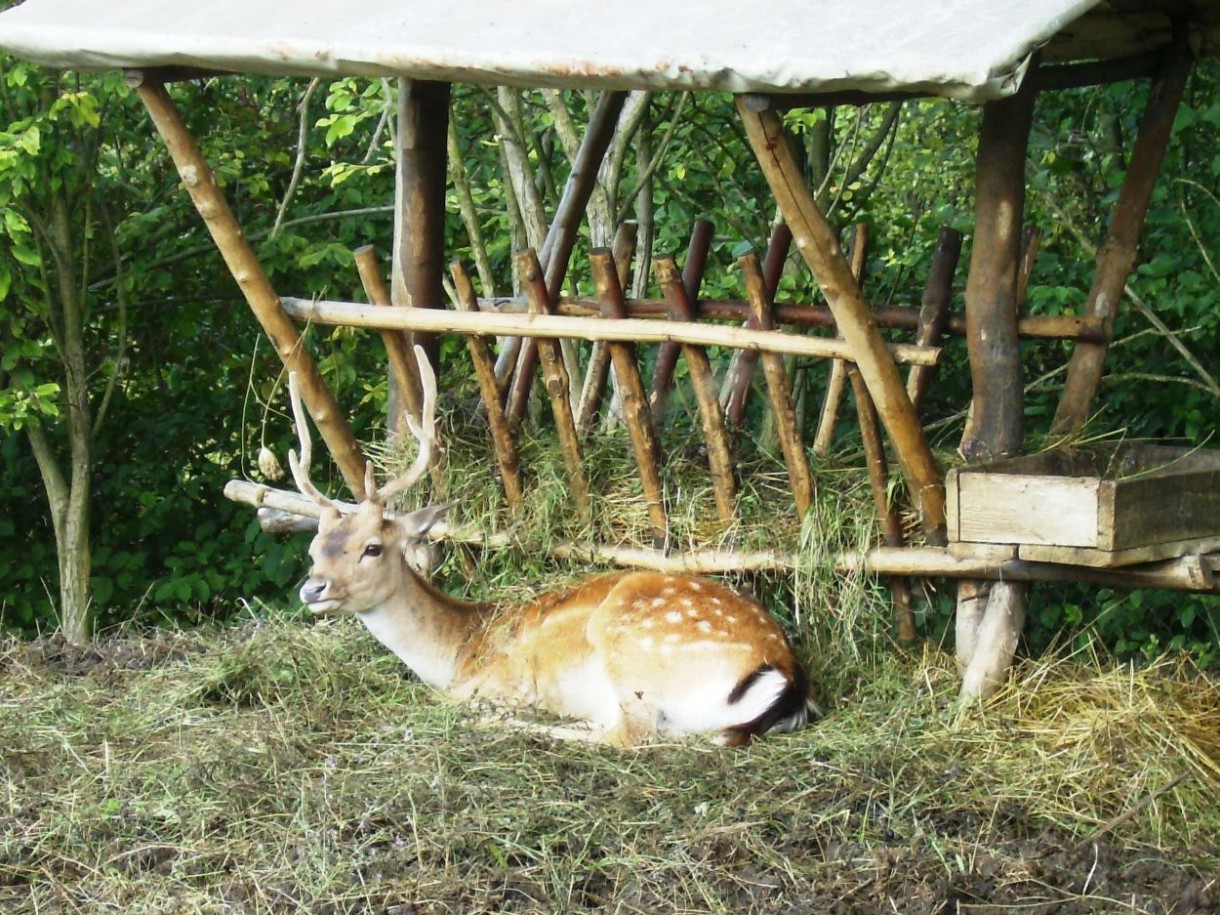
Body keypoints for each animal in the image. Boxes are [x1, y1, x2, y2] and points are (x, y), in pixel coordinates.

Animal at [286, 346, 819, 746]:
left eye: (372, 547)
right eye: (313, 549)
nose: (313, 589)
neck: (460, 649)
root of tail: (786, 674)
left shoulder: (492, 679)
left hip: (630, 645)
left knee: (629, 735)